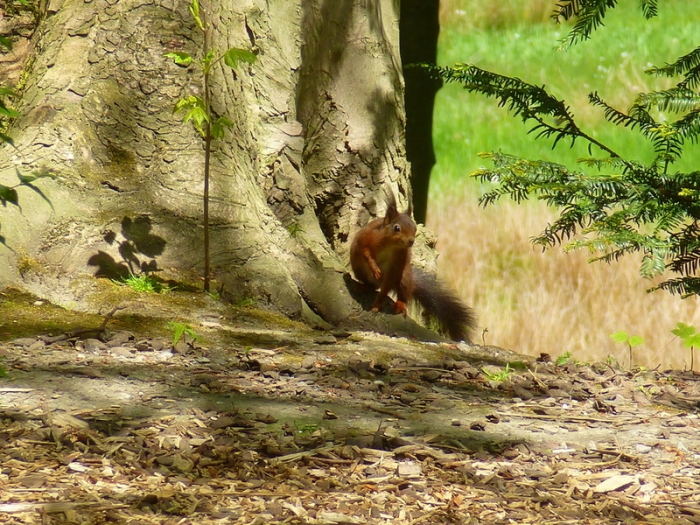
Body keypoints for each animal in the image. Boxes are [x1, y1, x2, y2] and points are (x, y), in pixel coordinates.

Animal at [350, 193, 476, 343]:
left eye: (415, 228)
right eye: (396, 228)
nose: (411, 241)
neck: (390, 245)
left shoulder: (397, 262)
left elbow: (386, 286)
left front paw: (377, 304)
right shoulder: (366, 238)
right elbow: (365, 252)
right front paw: (374, 267)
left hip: (404, 278)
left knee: (401, 293)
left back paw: (401, 304)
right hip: (360, 270)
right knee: (371, 285)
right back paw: (364, 286)